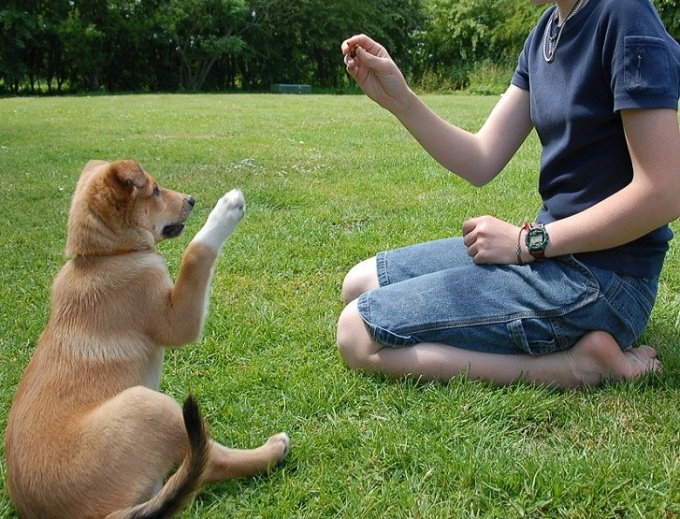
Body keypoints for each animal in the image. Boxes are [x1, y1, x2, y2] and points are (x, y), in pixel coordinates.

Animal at [4, 160, 290, 519]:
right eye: (154, 191)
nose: (192, 200)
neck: (106, 256)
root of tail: (105, 516)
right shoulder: (175, 320)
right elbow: (194, 253)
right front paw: (225, 211)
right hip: (148, 405)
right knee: (211, 461)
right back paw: (272, 450)